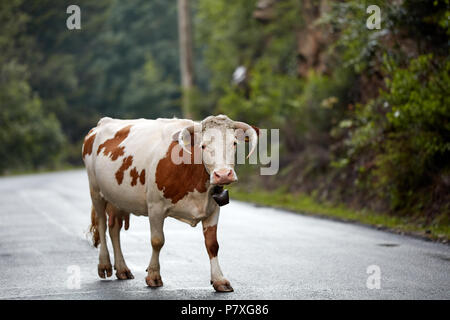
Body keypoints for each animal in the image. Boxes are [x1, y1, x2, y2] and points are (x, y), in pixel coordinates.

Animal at [80, 114, 256, 292]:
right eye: (203, 146)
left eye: (234, 143)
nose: (223, 174)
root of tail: (103, 122)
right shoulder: (155, 207)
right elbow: (157, 241)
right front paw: (153, 276)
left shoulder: (213, 208)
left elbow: (212, 244)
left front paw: (219, 280)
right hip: (96, 192)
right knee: (102, 225)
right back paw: (104, 265)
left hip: (118, 198)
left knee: (114, 229)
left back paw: (122, 269)